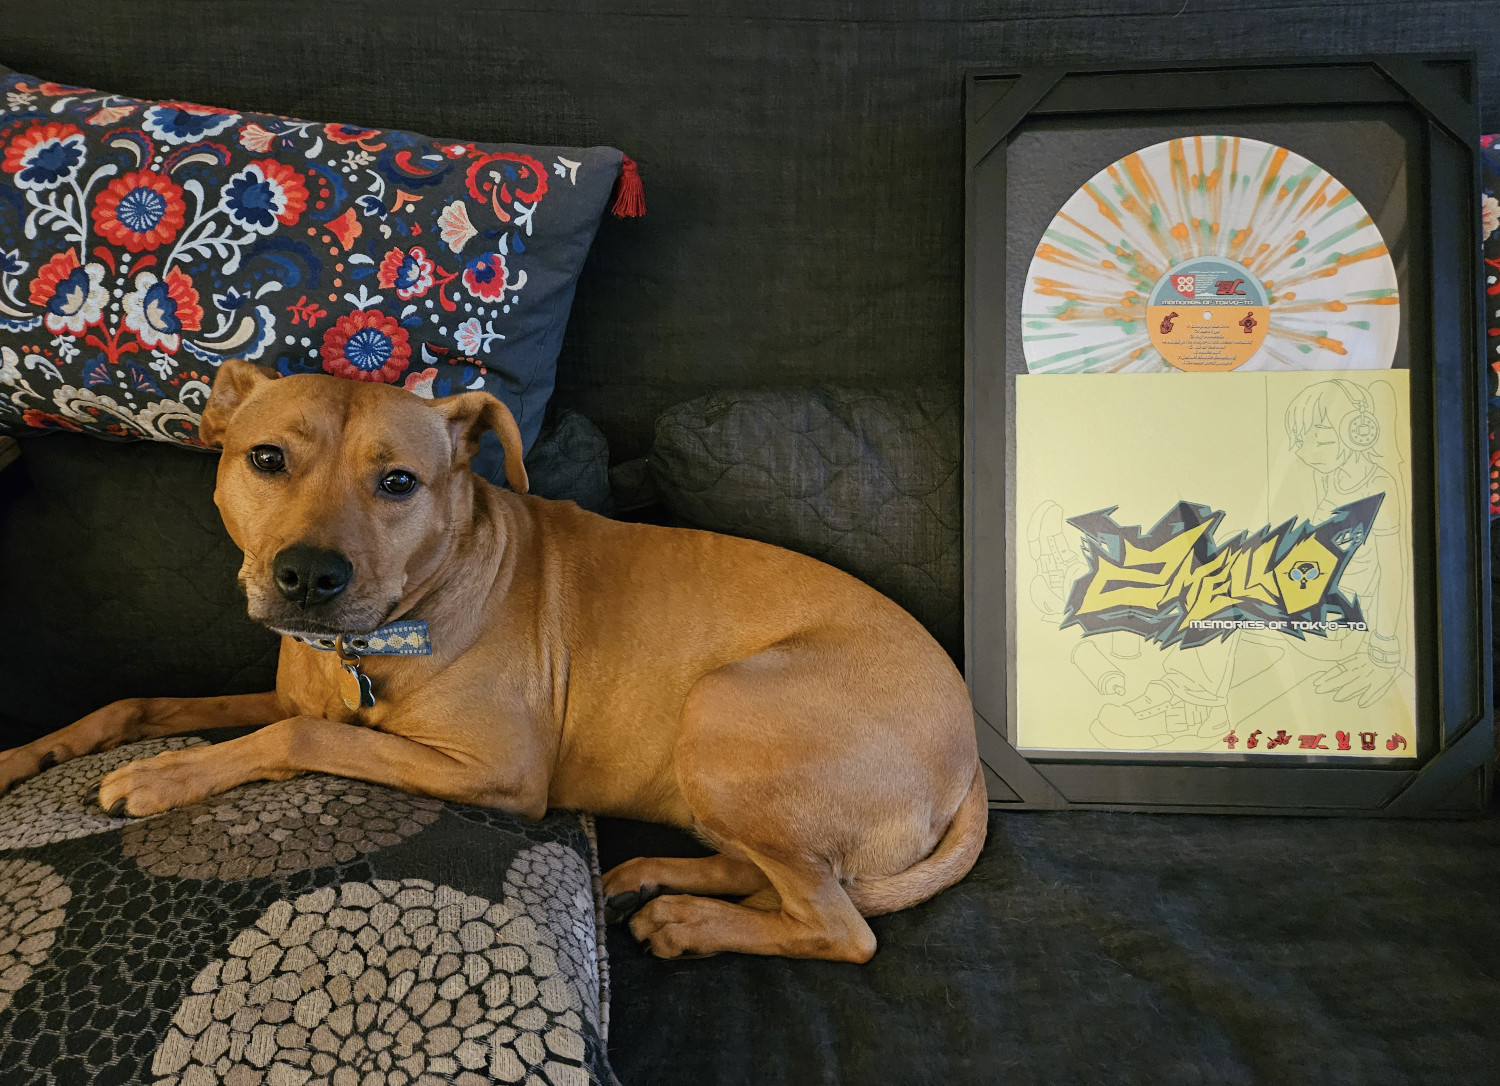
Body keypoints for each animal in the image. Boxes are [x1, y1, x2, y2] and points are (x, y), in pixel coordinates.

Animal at [0, 363, 984, 960]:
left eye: (400, 482)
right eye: (266, 459)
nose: (308, 576)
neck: (376, 640)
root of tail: (971, 759)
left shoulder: (496, 772)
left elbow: (300, 741)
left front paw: (161, 778)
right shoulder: (279, 692)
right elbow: (142, 704)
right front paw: (27, 753)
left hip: (724, 709)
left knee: (841, 925)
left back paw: (688, 920)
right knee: (782, 877)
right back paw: (655, 883)